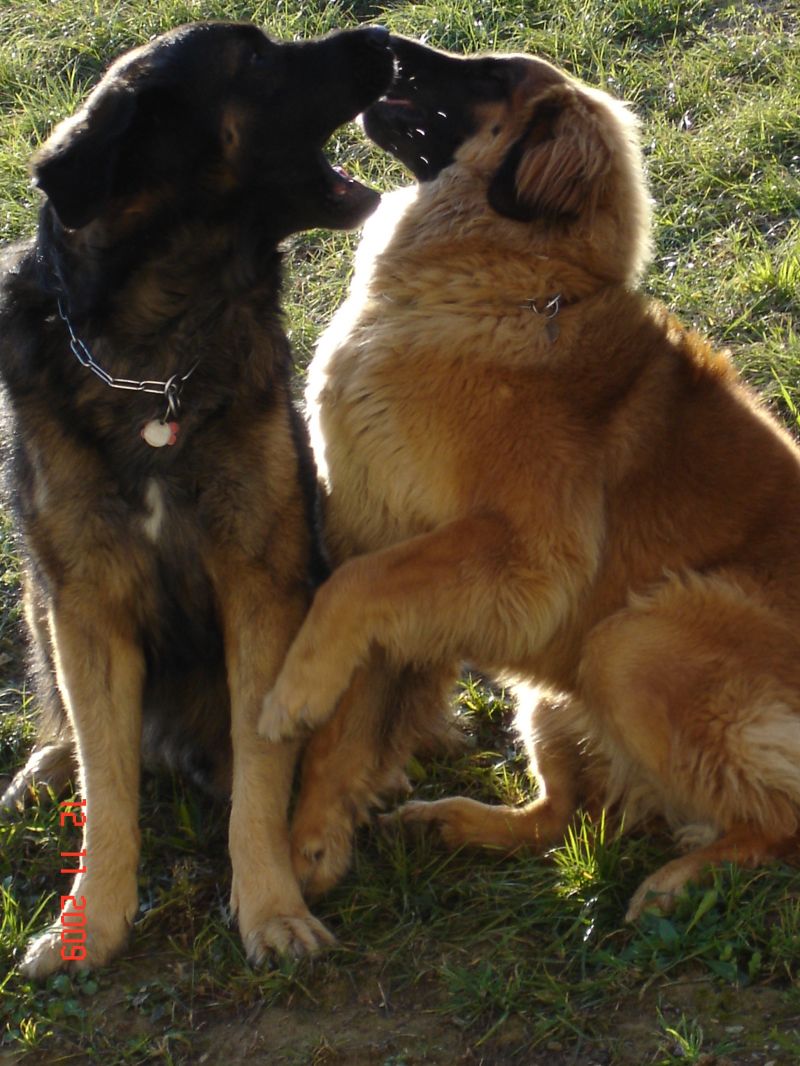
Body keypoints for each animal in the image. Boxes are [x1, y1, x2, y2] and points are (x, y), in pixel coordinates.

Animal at [0, 20, 394, 976]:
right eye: (252, 59)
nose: (382, 34)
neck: (153, 363)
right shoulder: (88, 603)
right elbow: (108, 791)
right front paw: (90, 923)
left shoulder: (262, 588)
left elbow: (261, 771)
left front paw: (271, 909)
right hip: (37, 590)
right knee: (76, 731)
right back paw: (45, 765)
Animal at [263, 35, 800, 916]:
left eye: (488, 74)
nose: (382, 39)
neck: (515, 289)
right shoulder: (379, 534)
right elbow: (350, 708)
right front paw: (312, 837)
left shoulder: (520, 556)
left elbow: (352, 594)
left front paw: (290, 693)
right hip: (555, 692)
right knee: (560, 817)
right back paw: (451, 822)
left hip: (630, 642)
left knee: (778, 820)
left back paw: (681, 881)